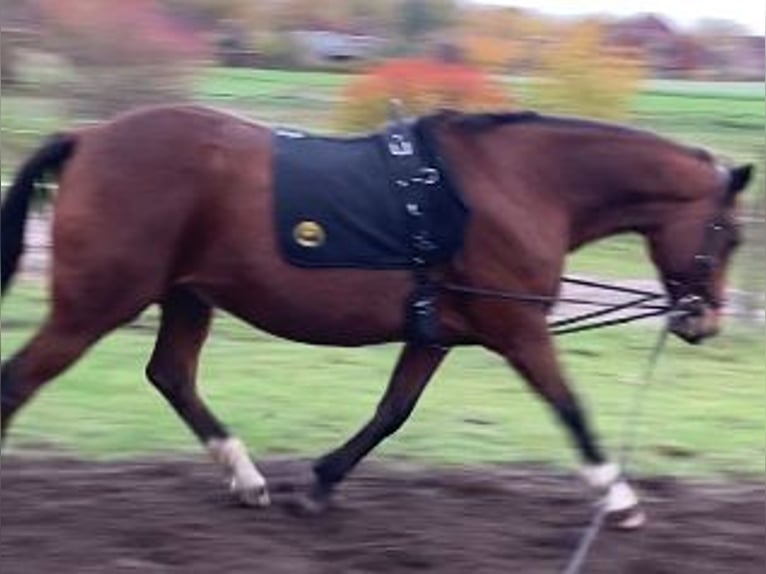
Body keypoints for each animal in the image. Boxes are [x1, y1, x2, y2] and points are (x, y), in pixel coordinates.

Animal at [0, 104, 752, 532]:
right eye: (733, 236)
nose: (704, 322)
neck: (520, 186)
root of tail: (88, 137)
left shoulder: (437, 333)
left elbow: (393, 411)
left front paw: (320, 484)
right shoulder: (518, 330)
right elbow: (570, 408)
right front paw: (617, 499)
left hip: (188, 296)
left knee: (172, 375)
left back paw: (247, 479)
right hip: (97, 302)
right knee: (20, 379)